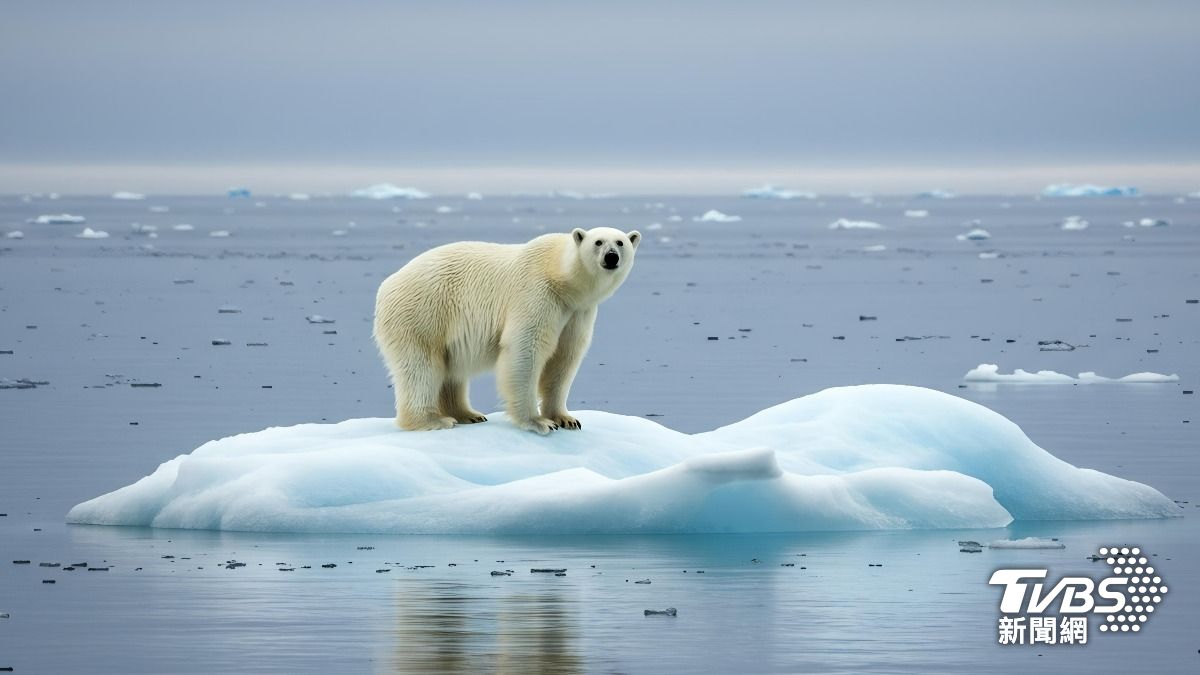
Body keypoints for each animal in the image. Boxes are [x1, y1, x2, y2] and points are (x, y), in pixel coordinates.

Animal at [373, 226, 641, 434]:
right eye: (598, 242)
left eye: (620, 242)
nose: (611, 257)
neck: (560, 276)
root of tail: (387, 284)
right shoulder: (537, 293)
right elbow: (525, 349)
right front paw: (538, 422)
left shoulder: (577, 312)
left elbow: (564, 358)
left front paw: (566, 418)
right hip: (422, 313)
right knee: (422, 367)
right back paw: (433, 420)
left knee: (450, 372)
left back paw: (468, 414)